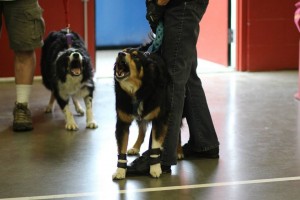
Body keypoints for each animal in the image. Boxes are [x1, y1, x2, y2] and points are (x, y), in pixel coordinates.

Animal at [112, 48, 171, 180]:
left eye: (135, 57)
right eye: (123, 51)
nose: (120, 54)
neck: (136, 90)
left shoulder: (160, 119)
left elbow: (155, 144)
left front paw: (155, 168)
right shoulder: (122, 122)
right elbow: (121, 148)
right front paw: (120, 170)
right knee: (142, 132)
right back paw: (135, 147)